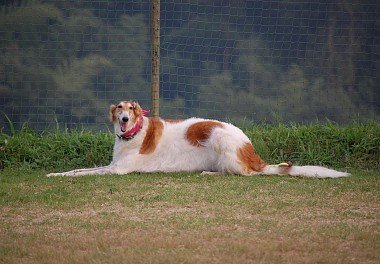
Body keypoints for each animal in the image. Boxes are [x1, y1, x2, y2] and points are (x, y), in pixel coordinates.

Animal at [46, 100, 350, 178]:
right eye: (118, 108)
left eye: (130, 109)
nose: (123, 121)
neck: (133, 134)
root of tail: (254, 154)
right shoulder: (110, 166)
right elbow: (76, 170)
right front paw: (54, 174)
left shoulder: (117, 170)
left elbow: (81, 173)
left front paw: (58, 175)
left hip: (221, 139)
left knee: (243, 174)